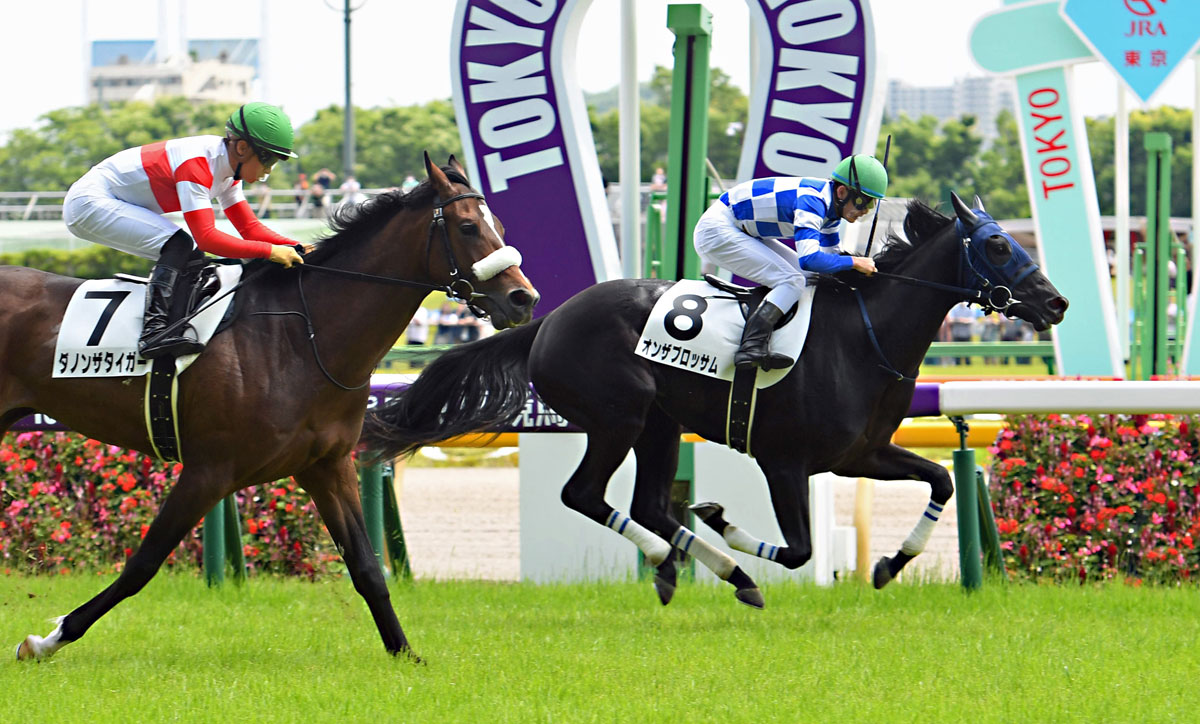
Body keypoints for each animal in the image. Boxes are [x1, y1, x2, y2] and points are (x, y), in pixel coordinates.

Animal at [9, 153, 538, 662]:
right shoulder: (209, 470)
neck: (301, 336)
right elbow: (143, 563)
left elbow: (367, 566)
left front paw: (405, 654)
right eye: (467, 226)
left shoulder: (327, 465)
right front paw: (48, 639)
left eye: (500, 226)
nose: (523, 297)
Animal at [361, 193, 1068, 606]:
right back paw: (714, 568)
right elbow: (800, 549)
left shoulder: (861, 454)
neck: (863, 337)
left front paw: (891, 565)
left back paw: (705, 569)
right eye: (998, 244)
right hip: (617, 418)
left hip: (659, 424)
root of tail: (549, 319)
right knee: (585, 495)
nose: (1056, 302)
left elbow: (940, 482)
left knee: (647, 504)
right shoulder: (785, 461)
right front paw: (725, 523)